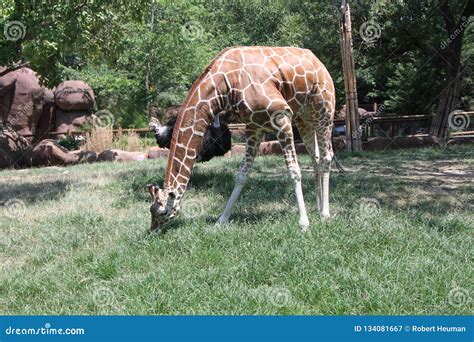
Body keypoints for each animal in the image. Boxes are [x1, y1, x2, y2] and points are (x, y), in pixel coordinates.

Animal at [149, 46, 336, 232]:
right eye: (150, 209)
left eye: (163, 211)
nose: (152, 230)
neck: (225, 86)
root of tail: (319, 62)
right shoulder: (254, 127)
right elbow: (241, 176)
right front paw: (221, 220)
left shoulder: (281, 117)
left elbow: (294, 171)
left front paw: (303, 223)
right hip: (304, 118)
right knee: (315, 159)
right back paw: (318, 208)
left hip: (324, 109)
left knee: (326, 157)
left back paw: (325, 213)